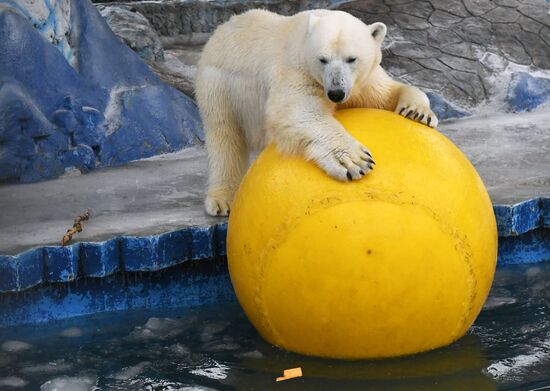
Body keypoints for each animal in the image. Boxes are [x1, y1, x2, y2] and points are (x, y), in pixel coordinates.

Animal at [196, 8, 438, 217]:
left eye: (352, 58)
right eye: (323, 59)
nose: (336, 93)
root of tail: (221, 29)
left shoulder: (361, 82)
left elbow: (385, 94)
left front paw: (417, 111)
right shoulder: (297, 71)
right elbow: (297, 110)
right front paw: (355, 161)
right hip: (220, 85)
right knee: (225, 137)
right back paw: (223, 200)